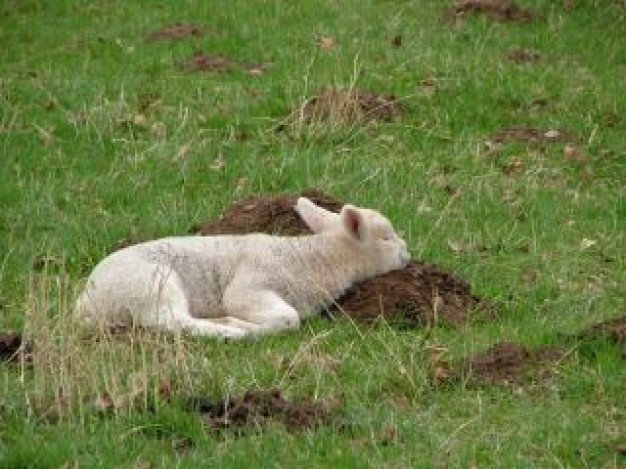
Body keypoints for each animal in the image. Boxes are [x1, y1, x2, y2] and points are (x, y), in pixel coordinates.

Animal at [74, 196, 410, 338]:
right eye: (386, 236)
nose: (407, 253)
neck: (314, 259)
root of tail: (86, 304)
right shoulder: (251, 285)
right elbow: (288, 319)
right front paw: (245, 324)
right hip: (149, 285)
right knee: (171, 321)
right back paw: (229, 330)